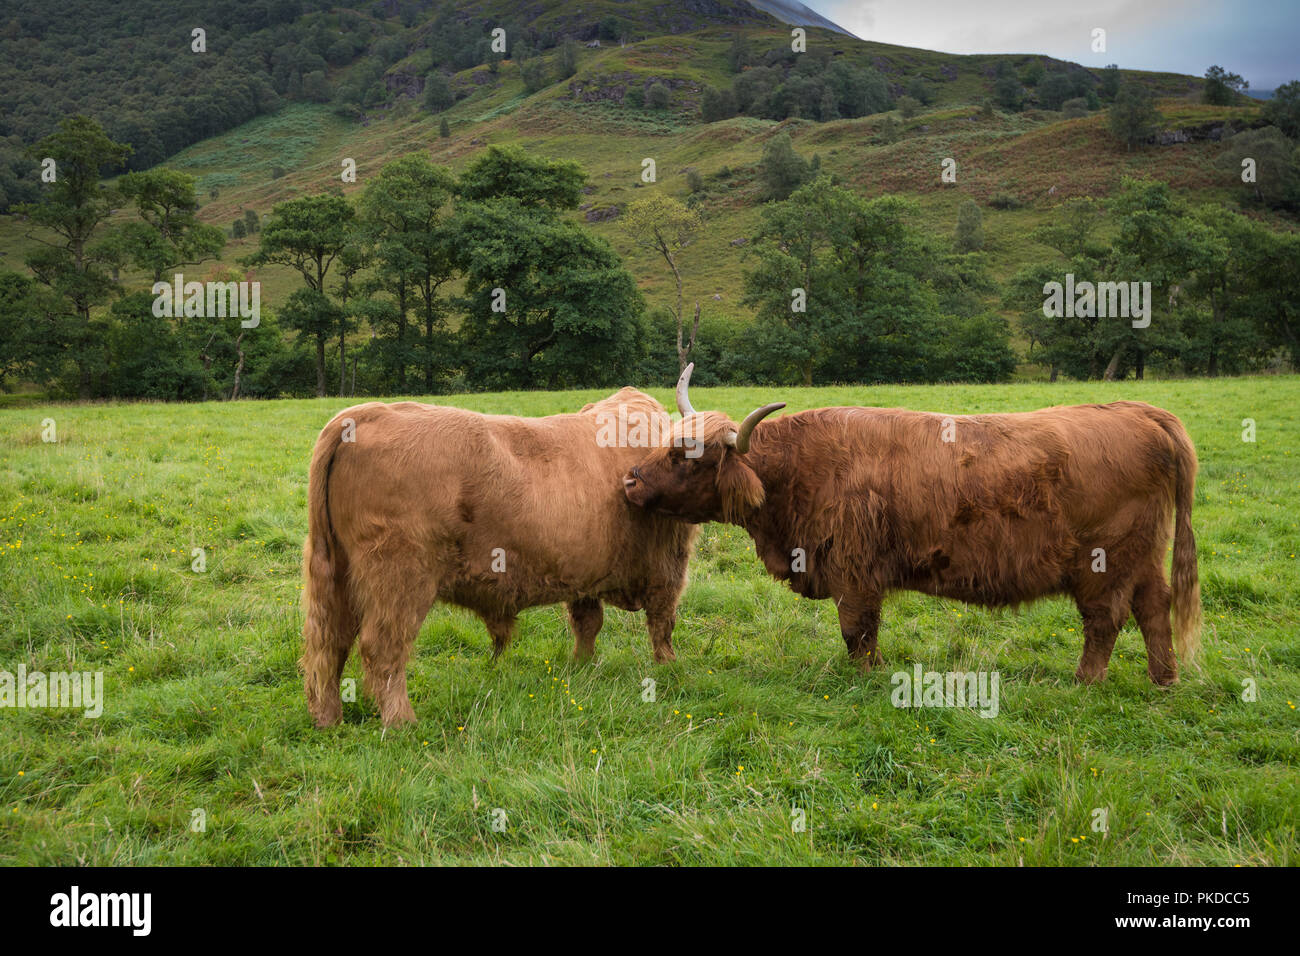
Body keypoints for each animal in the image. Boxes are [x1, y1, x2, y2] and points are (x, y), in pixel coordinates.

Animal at [299, 387, 696, 723]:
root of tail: (366, 412)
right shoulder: (667, 568)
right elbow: (662, 625)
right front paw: (668, 667)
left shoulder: (584, 574)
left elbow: (588, 624)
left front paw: (584, 665)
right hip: (400, 577)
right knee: (382, 648)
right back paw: (402, 721)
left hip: (335, 573)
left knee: (329, 644)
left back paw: (328, 719)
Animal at [624, 366, 1201, 686]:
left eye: (683, 457)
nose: (628, 480)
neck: (795, 473)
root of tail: (1142, 412)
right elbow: (862, 630)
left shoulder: (854, 570)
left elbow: (857, 630)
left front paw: (870, 675)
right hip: (1143, 555)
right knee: (1155, 606)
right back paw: (1164, 679)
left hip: (1105, 561)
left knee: (1105, 620)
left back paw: (1086, 681)